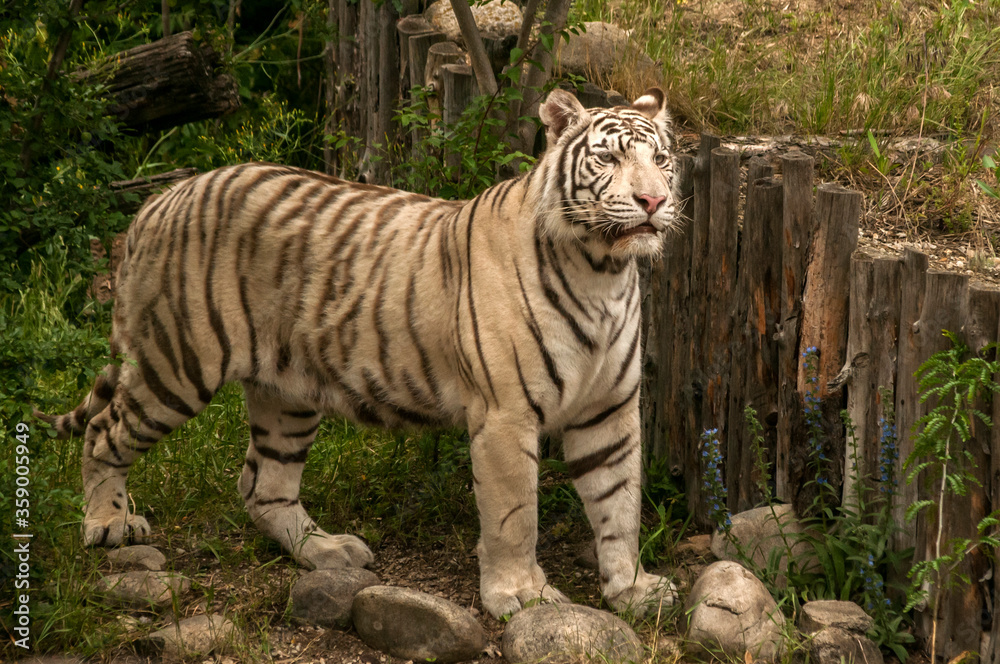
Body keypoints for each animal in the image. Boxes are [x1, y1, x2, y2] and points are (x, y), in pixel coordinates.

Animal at [37, 87, 681, 619]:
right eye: (609, 160)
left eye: (661, 160)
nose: (652, 201)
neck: (602, 271)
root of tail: (160, 199)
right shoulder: (506, 415)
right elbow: (514, 515)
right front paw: (522, 596)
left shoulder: (610, 410)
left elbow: (619, 504)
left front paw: (633, 589)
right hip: (177, 363)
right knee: (102, 431)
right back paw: (108, 524)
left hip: (287, 391)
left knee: (261, 486)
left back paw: (327, 552)